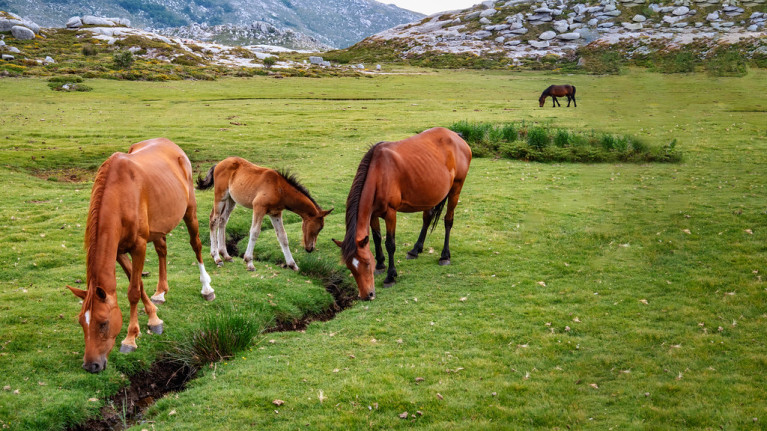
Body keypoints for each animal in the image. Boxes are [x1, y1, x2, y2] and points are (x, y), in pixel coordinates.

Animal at [67, 139, 214, 374]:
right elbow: (136, 282)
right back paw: (161, 292)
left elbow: (133, 291)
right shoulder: (119, 250)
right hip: (159, 225)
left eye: (103, 323)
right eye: (82, 322)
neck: (119, 195)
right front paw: (154, 317)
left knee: (196, 246)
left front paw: (130, 338)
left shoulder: (139, 246)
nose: (91, 365)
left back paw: (207, 288)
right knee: (162, 250)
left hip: (189, 210)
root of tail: (172, 145)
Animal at [336, 125, 474, 300]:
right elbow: (377, 238)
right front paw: (380, 264)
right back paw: (415, 250)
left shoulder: (390, 213)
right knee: (427, 218)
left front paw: (390, 276)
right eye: (350, 267)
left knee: (448, 220)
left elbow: (390, 243)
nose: (367, 295)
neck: (379, 173)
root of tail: (456, 136)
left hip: (456, 189)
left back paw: (444, 255)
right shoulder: (373, 214)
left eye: (366, 264)